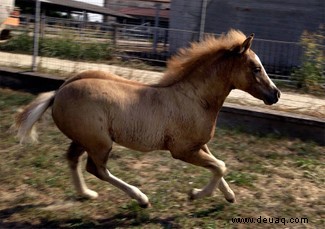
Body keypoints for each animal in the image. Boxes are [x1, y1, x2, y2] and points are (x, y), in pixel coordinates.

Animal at [14, 30, 278, 208]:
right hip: (99, 142)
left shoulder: (199, 144)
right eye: (256, 68)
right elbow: (220, 166)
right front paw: (194, 194)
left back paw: (87, 194)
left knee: (73, 160)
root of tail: (58, 92)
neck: (193, 98)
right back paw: (141, 198)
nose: (275, 94)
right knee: (96, 168)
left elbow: (218, 166)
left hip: (83, 139)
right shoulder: (182, 150)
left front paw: (230, 196)